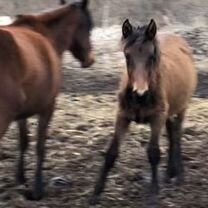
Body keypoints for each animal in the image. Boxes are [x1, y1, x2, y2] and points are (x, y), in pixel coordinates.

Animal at [0, 0, 93, 200]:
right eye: (89, 26)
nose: (90, 59)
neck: (45, 35)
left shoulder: (23, 112)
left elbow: (23, 141)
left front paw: (21, 178)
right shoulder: (48, 107)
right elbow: (40, 145)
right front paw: (38, 188)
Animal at [90, 18, 197, 204]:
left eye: (152, 56)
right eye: (127, 55)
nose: (140, 93)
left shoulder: (157, 117)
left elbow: (153, 153)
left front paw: (154, 194)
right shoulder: (122, 116)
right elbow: (111, 153)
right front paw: (95, 193)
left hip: (181, 108)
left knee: (177, 136)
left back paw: (180, 176)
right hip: (168, 113)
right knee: (172, 135)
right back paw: (170, 174)